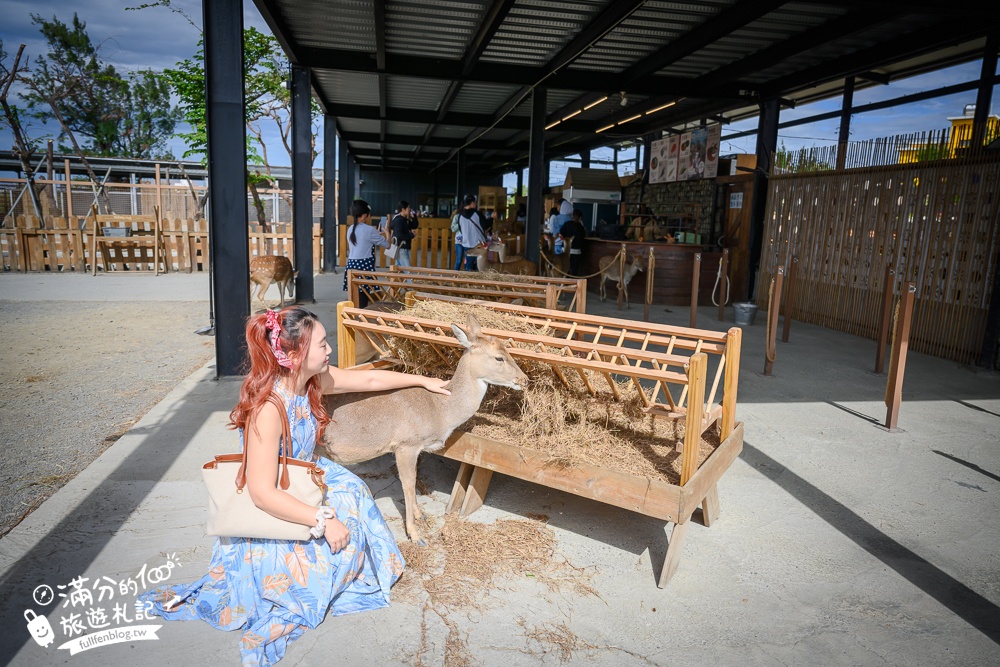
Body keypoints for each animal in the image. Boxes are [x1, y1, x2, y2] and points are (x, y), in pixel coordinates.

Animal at [322, 316, 532, 544]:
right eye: (499, 357)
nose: (525, 379)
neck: (440, 410)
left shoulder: (416, 448)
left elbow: (414, 481)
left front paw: (420, 515)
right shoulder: (406, 444)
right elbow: (408, 484)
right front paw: (416, 536)